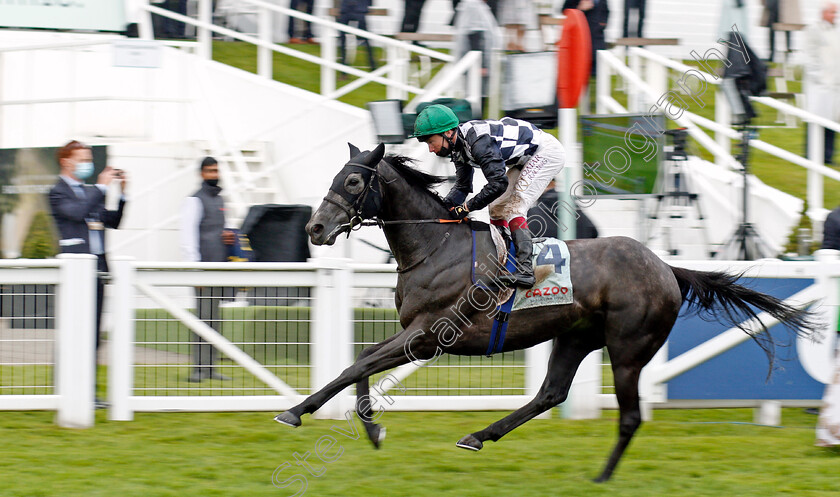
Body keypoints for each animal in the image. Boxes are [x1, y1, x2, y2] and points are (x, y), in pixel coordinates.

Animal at [276, 142, 820, 480]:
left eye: (352, 182)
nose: (315, 229)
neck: (434, 247)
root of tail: (665, 266)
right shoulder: (414, 333)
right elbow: (360, 362)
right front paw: (372, 429)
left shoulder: (430, 334)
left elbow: (358, 365)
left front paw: (297, 412)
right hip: (575, 336)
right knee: (550, 393)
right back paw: (478, 436)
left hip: (628, 349)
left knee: (628, 416)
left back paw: (602, 476)